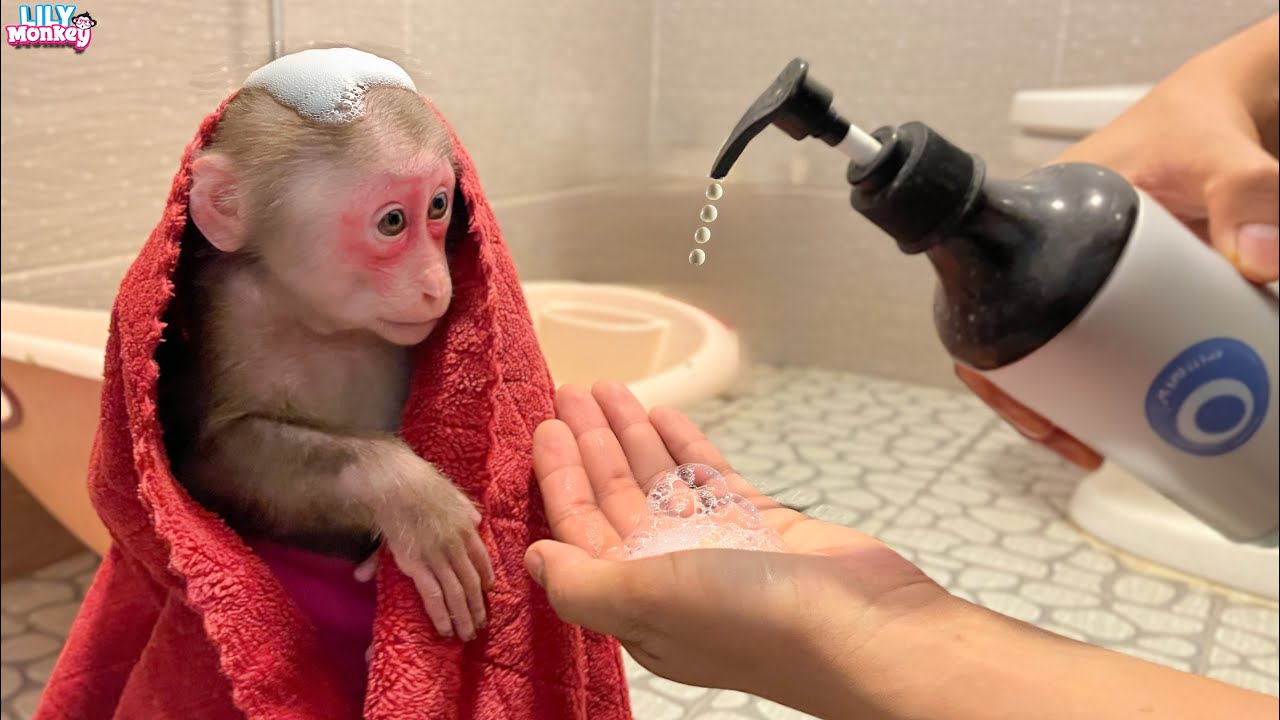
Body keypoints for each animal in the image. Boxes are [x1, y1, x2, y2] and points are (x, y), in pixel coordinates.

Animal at [154, 83, 493, 645]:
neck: (325, 323)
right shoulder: (234, 314)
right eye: (393, 221)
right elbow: (204, 461)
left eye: (439, 205)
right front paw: (406, 492)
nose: (435, 284)